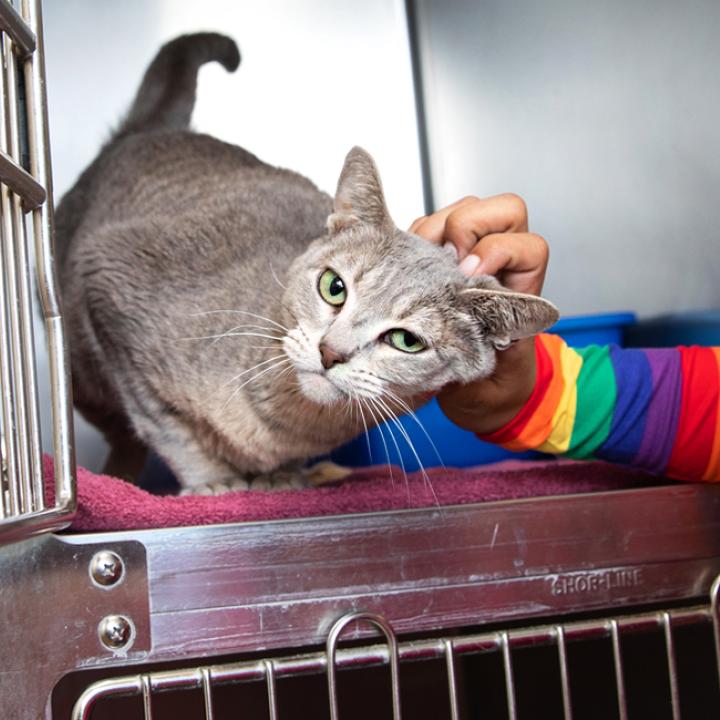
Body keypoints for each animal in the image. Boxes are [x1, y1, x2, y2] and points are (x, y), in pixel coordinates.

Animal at [54, 35, 556, 496]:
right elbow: (167, 426)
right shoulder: (108, 282)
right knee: (122, 431)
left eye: (406, 341)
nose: (330, 352)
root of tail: (144, 131)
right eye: (334, 288)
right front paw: (216, 483)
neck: (284, 425)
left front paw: (280, 478)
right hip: (83, 371)